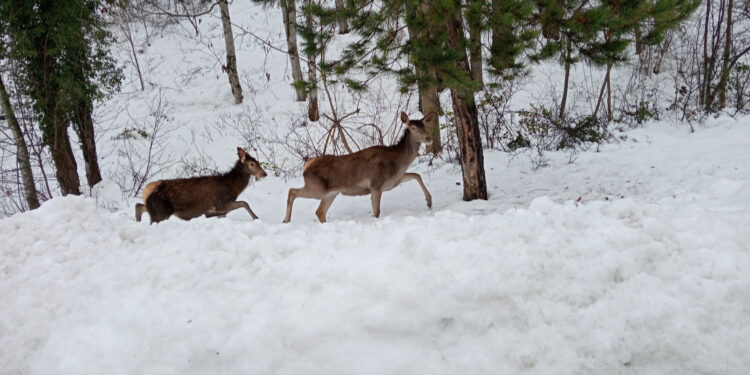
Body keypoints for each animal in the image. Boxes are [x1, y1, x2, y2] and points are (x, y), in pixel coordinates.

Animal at [137, 147, 268, 223]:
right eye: (252, 164)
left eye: (258, 162)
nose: (264, 174)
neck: (233, 187)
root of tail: (145, 191)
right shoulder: (221, 204)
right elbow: (244, 203)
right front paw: (256, 218)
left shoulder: (218, 211)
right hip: (161, 213)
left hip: (156, 210)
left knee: (139, 205)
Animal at [282, 111, 434, 223]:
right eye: (413, 128)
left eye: (424, 126)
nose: (429, 138)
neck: (398, 163)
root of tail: (306, 166)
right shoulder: (376, 184)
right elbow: (376, 211)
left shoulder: (396, 180)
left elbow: (417, 175)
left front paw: (429, 202)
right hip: (316, 187)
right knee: (292, 191)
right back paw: (286, 220)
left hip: (331, 192)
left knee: (320, 211)